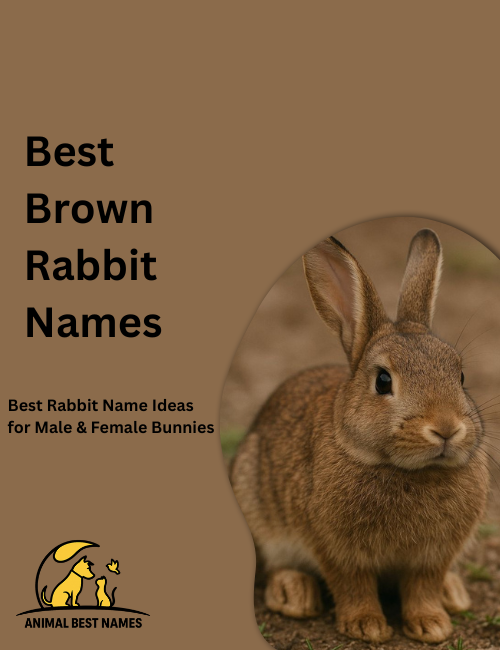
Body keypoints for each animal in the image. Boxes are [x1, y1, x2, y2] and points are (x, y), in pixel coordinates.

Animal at [229, 229, 489, 644]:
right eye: (383, 381)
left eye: (460, 376)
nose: (447, 428)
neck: (408, 471)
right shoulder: (337, 550)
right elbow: (354, 586)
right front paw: (367, 626)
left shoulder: (432, 558)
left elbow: (423, 587)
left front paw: (432, 625)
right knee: (274, 565)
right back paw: (294, 594)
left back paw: (454, 593)